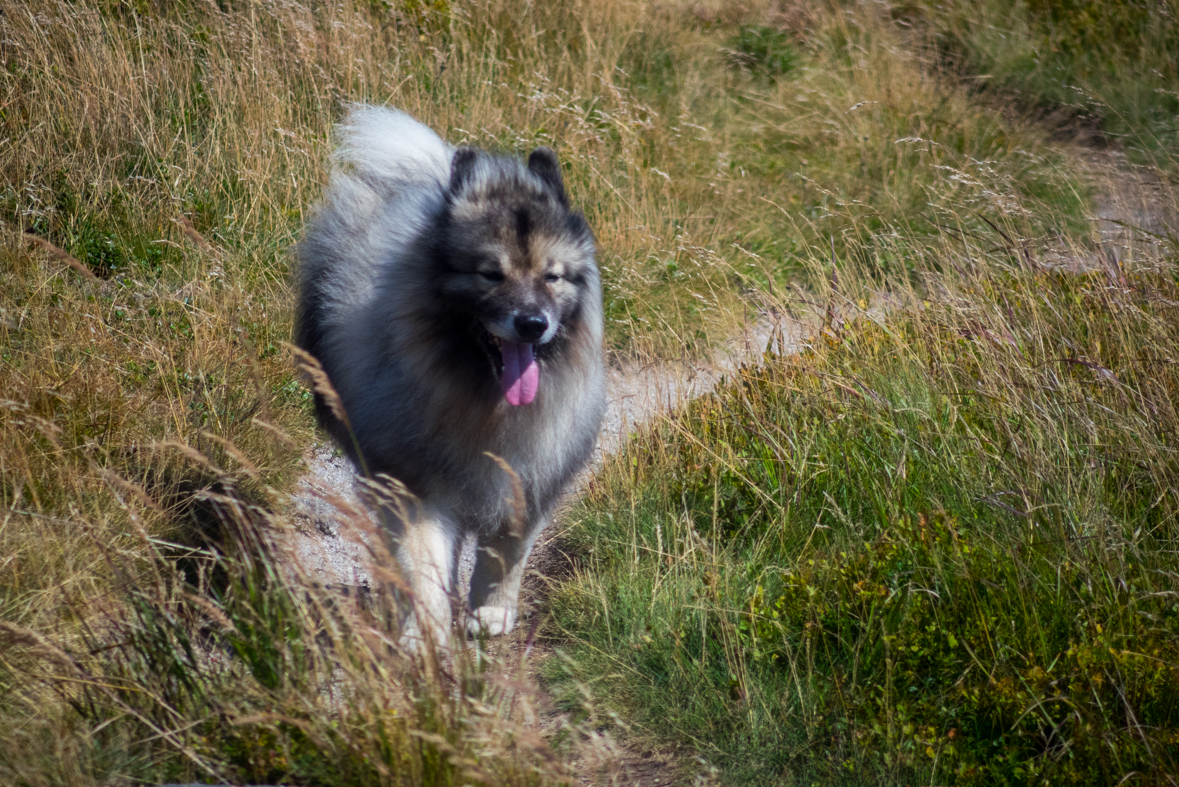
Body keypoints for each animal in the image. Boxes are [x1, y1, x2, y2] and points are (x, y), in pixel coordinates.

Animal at [294, 104, 608, 645]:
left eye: (552, 276)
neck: (484, 397)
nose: (532, 323)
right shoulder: (418, 485)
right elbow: (423, 561)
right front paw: (425, 632)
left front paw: (491, 612)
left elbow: (507, 553)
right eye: (490, 274)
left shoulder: (529, 475)